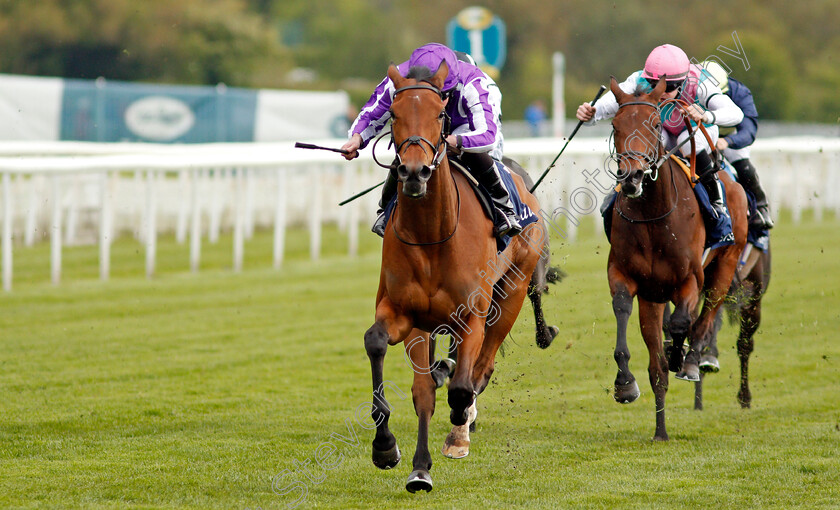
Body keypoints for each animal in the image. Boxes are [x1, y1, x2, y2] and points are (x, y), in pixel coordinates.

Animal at [362, 61, 556, 492]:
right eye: (393, 115)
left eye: (440, 115)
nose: (413, 172)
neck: (432, 235)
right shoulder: (406, 314)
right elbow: (387, 354)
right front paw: (393, 452)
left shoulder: (472, 315)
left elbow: (463, 387)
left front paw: (457, 432)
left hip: (511, 294)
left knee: (482, 368)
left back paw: (461, 424)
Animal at [604, 76, 748, 442]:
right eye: (615, 125)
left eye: (655, 124)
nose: (632, 177)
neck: (654, 217)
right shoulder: (627, 277)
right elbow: (623, 311)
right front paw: (625, 384)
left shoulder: (690, 280)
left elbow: (684, 322)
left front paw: (679, 355)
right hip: (654, 296)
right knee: (658, 363)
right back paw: (661, 430)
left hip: (726, 264)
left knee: (707, 314)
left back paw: (693, 359)